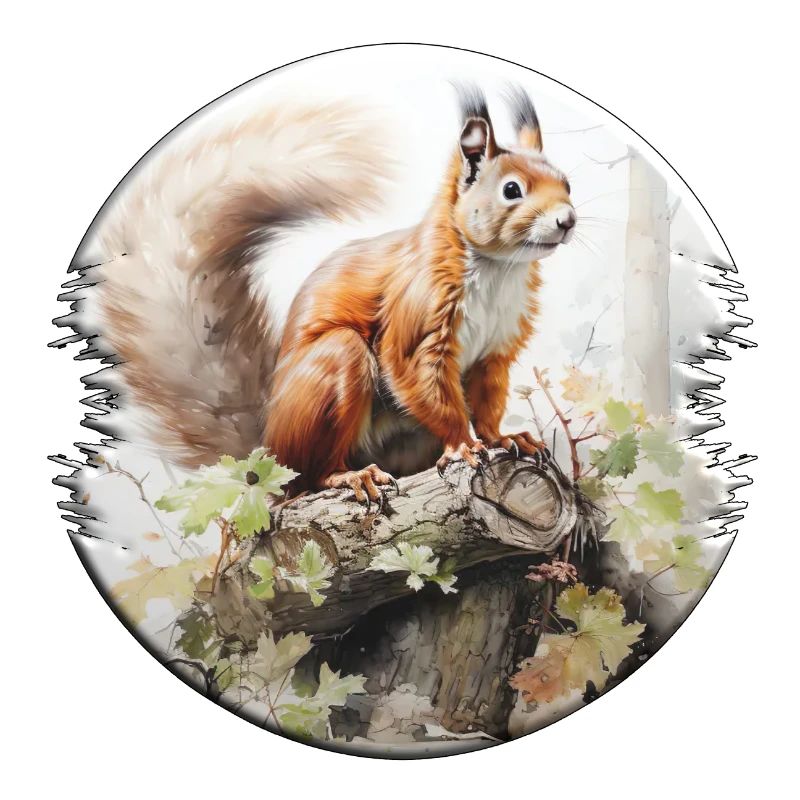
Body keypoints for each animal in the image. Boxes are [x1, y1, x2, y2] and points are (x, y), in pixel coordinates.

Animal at [93, 85, 575, 504]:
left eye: (567, 182)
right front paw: (462, 444)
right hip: (334, 372)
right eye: (511, 190)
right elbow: (418, 376)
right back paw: (350, 476)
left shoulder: (497, 348)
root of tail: (269, 457)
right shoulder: (417, 316)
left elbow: (488, 400)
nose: (567, 220)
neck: (497, 271)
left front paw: (503, 437)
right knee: (313, 474)